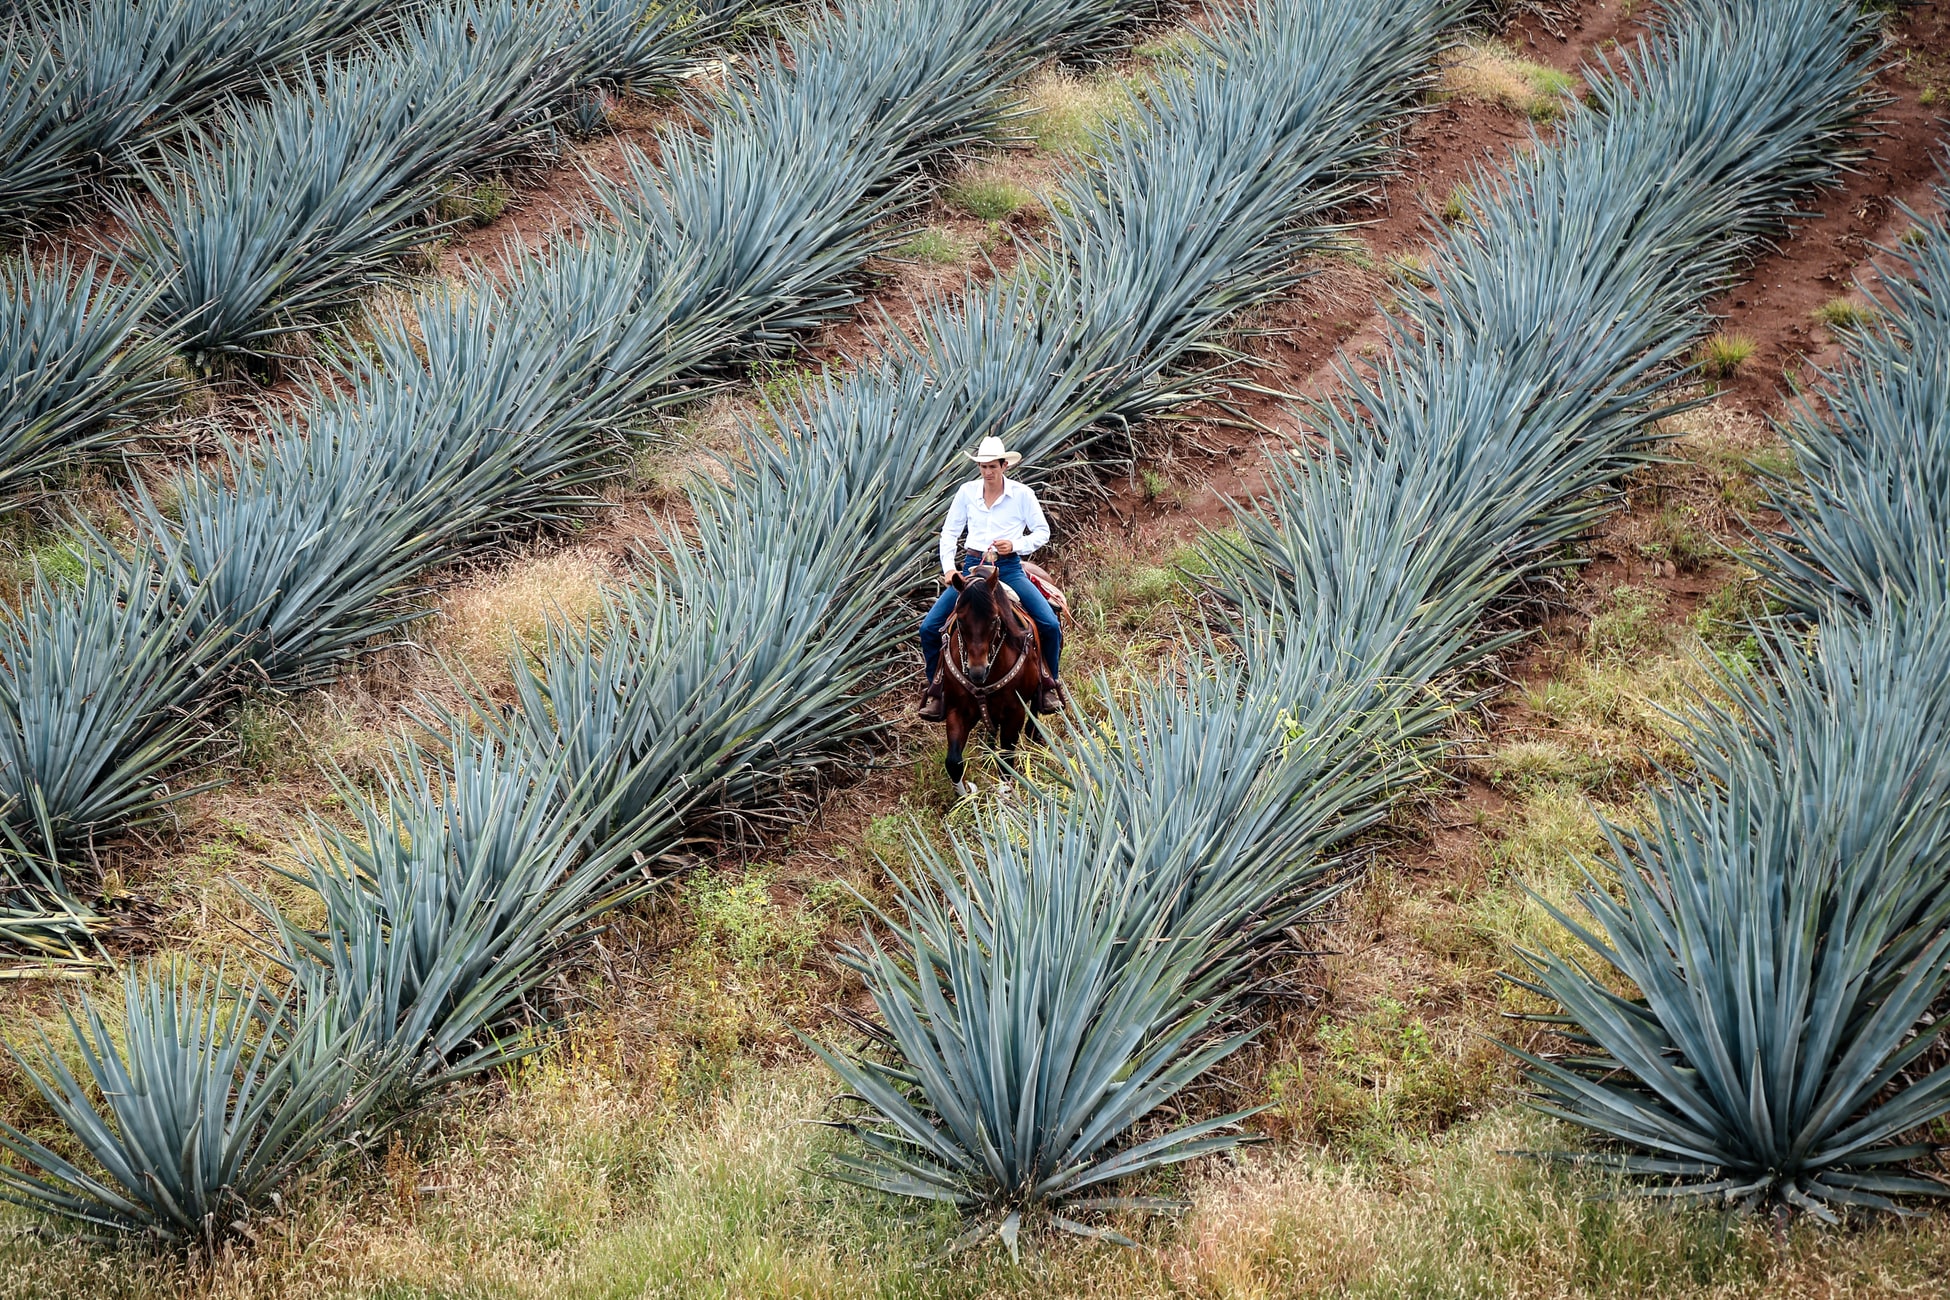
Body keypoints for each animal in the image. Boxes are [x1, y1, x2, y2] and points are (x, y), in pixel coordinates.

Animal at [936, 565, 1045, 799]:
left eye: (995, 619)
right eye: (960, 620)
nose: (977, 671)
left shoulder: (1015, 713)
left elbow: (1007, 761)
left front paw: (1005, 796)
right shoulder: (957, 710)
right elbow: (953, 762)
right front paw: (966, 797)